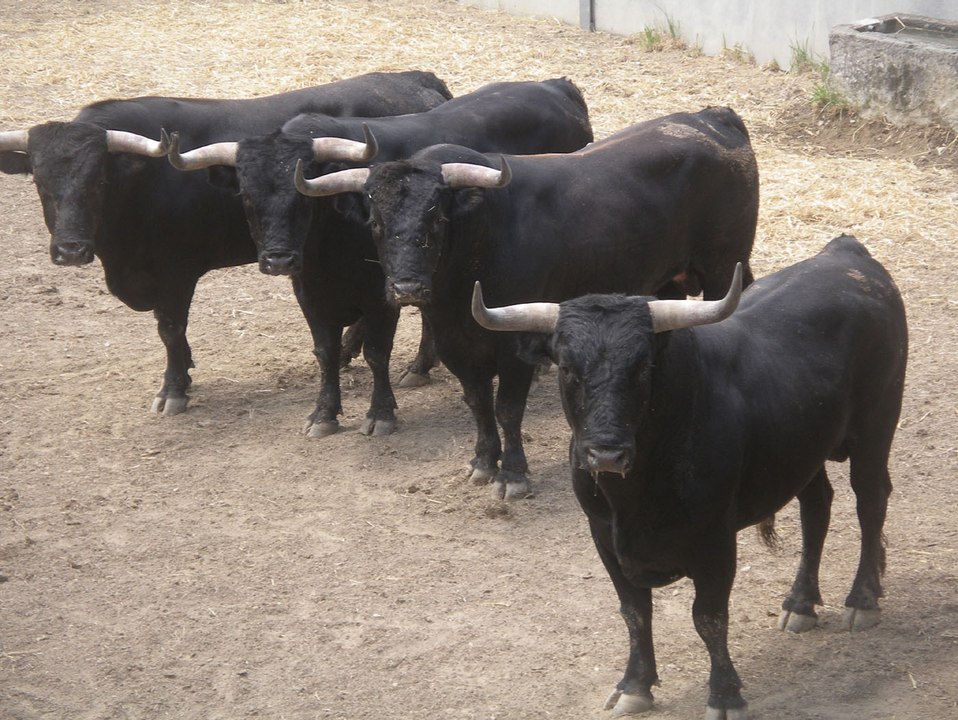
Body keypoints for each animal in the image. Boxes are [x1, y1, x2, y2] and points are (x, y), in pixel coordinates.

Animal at [0, 70, 452, 417]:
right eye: (40, 182)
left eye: (98, 181)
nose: (70, 251)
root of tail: (415, 78)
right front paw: (185, 370)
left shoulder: (175, 274)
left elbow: (169, 329)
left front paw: (173, 389)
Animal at [166, 78, 593, 437]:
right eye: (246, 195)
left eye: (301, 195)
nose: (278, 261)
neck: (330, 241)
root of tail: (556, 86)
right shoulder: (310, 294)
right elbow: (324, 352)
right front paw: (324, 413)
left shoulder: (381, 295)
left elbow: (377, 352)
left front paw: (380, 413)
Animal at [302, 106, 759, 497]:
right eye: (376, 223)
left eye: (436, 216)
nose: (407, 288)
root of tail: (713, 117)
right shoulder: (455, 345)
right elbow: (478, 403)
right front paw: (483, 463)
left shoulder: (516, 346)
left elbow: (507, 409)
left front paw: (513, 475)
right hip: (665, 281)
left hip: (722, 267)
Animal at [471, 235, 908, 718]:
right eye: (567, 368)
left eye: (643, 367)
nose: (605, 452)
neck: (637, 494)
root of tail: (846, 254)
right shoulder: (604, 536)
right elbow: (633, 610)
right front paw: (635, 685)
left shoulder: (714, 542)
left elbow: (709, 618)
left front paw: (725, 695)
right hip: (802, 450)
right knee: (817, 507)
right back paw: (801, 603)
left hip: (876, 426)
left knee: (871, 502)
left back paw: (862, 600)